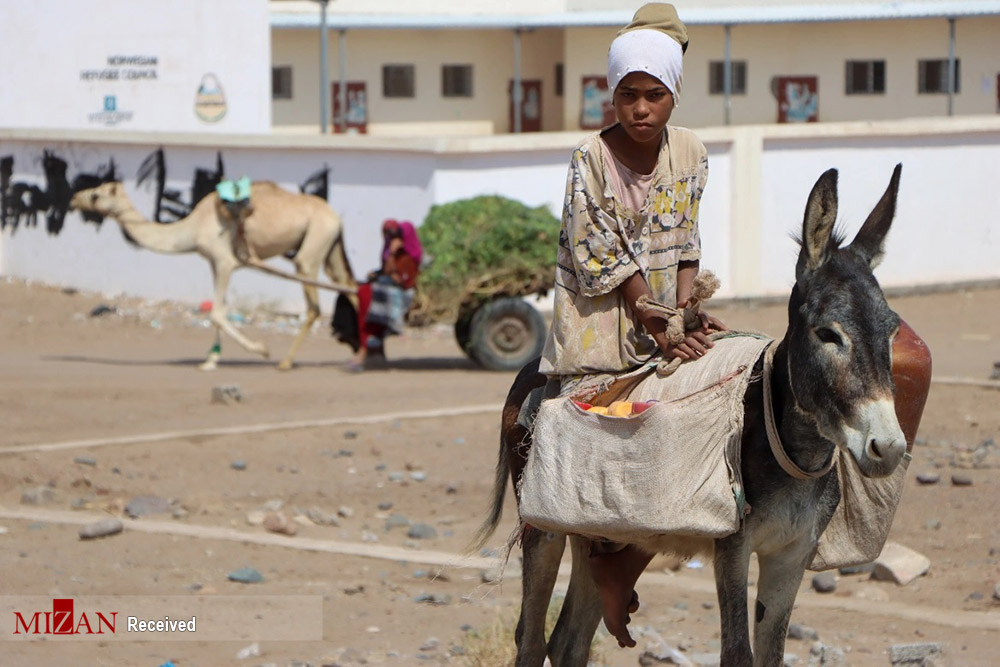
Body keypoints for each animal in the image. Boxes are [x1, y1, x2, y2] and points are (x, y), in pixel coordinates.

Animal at [67, 180, 356, 374]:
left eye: (95, 195)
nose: (73, 199)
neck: (192, 228)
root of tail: (337, 218)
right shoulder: (214, 264)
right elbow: (220, 311)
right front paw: (210, 360)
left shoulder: (225, 262)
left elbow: (216, 313)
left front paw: (261, 349)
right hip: (329, 247)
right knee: (350, 286)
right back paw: (359, 356)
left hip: (312, 248)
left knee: (315, 305)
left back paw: (286, 362)